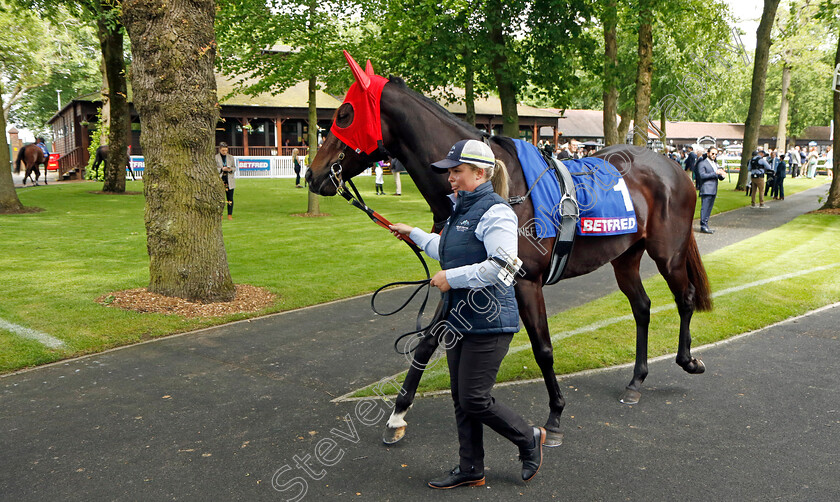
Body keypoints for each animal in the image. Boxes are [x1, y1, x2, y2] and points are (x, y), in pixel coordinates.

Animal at [306, 54, 712, 448]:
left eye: (344, 114)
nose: (313, 174)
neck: (500, 186)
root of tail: (673, 166)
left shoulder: (525, 282)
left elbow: (543, 348)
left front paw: (556, 416)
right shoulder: (458, 281)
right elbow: (427, 343)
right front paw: (397, 415)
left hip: (668, 253)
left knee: (686, 297)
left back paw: (688, 360)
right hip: (625, 256)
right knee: (642, 307)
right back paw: (636, 381)